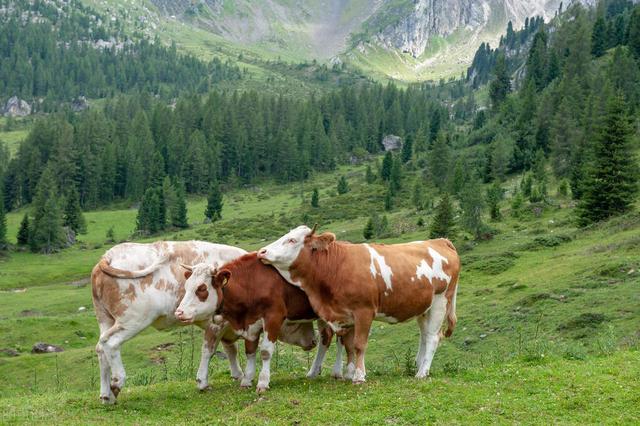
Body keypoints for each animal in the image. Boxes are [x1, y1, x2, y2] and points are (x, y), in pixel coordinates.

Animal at [91, 241, 246, 404]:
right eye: (202, 288)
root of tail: (109, 255)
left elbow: (231, 350)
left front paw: (238, 374)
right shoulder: (216, 324)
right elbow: (208, 350)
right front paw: (203, 382)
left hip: (105, 318)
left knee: (100, 348)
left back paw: (106, 395)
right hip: (133, 320)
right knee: (110, 342)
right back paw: (116, 383)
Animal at [174, 253, 344, 392]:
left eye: (201, 288)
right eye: (186, 286)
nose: (178, 312)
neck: (252, 283)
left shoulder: (273, 317)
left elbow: (265, 351)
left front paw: (262, 382)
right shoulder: (250, 323)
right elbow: (250, 351)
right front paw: (247, 379)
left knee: (341, 339)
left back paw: (338, 372)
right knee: (326, 337)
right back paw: (313, 371)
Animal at [256, 226, 460, 386]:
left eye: (292, 240)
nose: (262, 252)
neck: (336, 266)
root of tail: (440, 241)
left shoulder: (364, 311)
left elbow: (359, 345)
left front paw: (359, 376)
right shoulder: (345, 315)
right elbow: (348, 345)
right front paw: (349, 373)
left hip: (441, 301)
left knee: (433, 337)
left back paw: (422, 372)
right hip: (424, 308)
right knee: (424, 336)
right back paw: (419, 365)